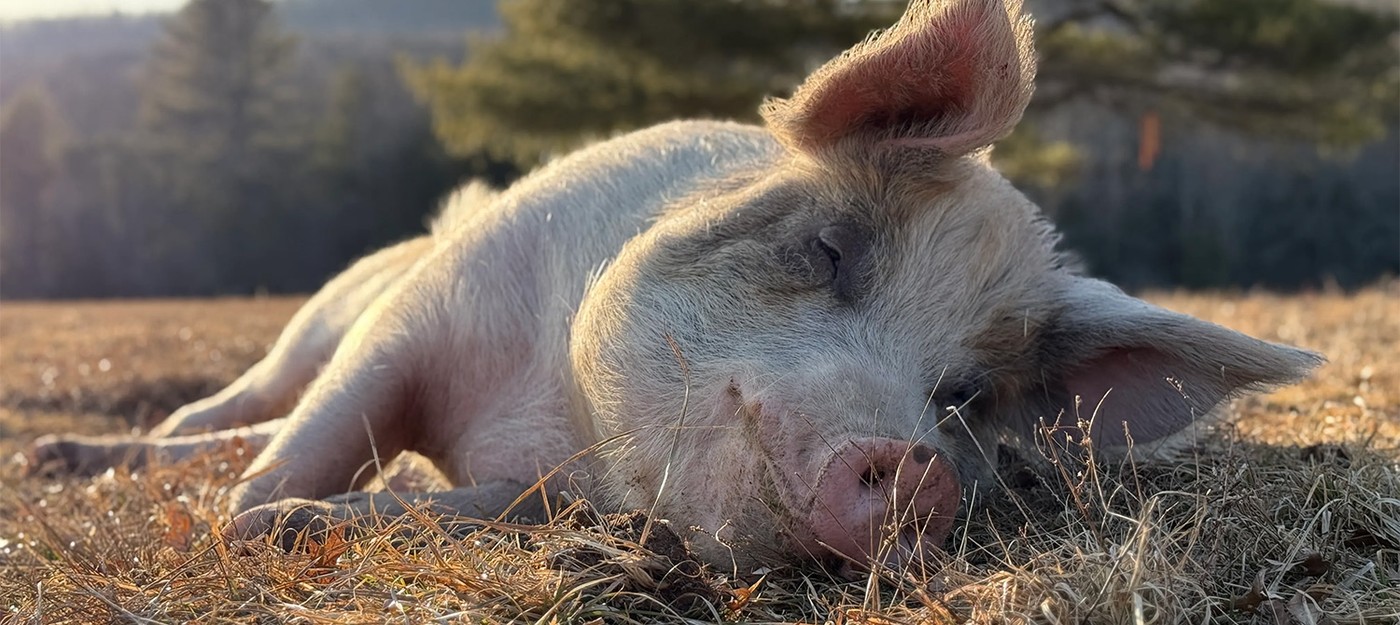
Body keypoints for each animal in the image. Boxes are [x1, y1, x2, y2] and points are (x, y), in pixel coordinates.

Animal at [27, 0, 1321, 573]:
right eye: (829, 251)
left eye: (964, 395)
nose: (912, 468)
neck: (546, 411)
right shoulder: (423, 315)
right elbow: (328, 429)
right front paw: (241, 526)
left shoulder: (551, 494)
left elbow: (447, 502)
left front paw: (299, 525)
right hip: (322, 315)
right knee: (240, 407)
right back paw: (74, 460)